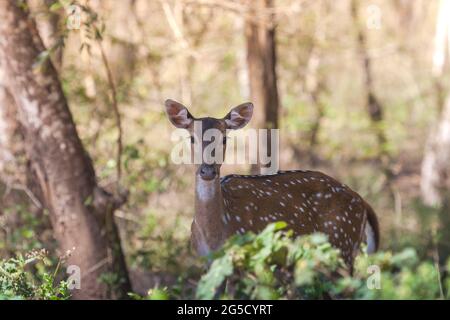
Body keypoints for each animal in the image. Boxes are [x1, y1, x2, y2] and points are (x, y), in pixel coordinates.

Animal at [165, 99, 380, 268]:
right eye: (192, 138)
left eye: (224, 139)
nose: (208, 171)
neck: (215, 234)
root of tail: (363, 202)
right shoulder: (208, 262)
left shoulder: (250, 252)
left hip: (342, 242)